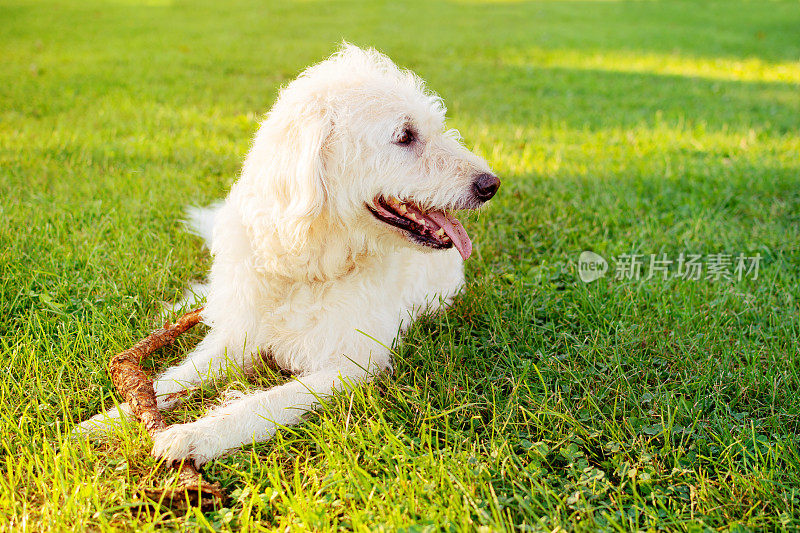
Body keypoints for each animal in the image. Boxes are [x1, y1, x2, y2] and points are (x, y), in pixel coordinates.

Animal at [76, 44, 500, 466]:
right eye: (406, 136)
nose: (490, 184)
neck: (306, 266)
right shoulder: (237, 337)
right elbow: (173, 378)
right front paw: (108, 420)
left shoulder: (349, 364)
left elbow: (263, 403)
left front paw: (195, 435)